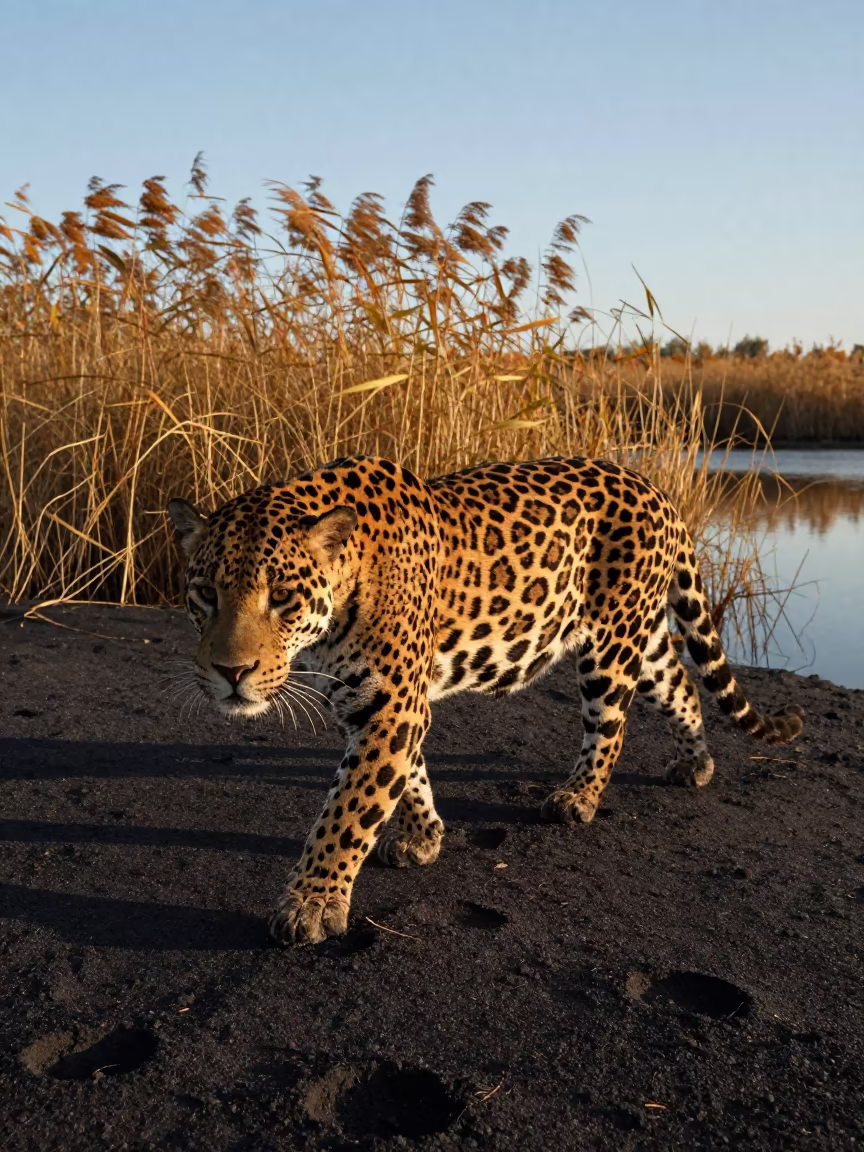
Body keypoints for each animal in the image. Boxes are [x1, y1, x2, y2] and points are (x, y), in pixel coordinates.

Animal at [167, 454, 804, 945]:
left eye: (282, 597)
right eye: (205, 594)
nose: (231, 672)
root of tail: (656, 488)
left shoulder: (391, 703)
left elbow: (348, 810)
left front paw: (312, 904)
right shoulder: (373, 702)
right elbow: (406, 777)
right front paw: (424, 837)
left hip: (610, 646)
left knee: (611, 727)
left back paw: (577, 797)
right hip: (639, 640)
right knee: (681, 684)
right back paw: (695, 762)